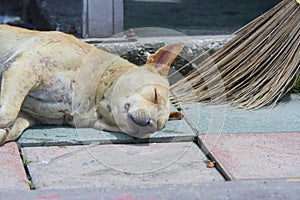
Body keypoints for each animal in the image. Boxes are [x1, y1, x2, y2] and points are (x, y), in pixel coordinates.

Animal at [0, 25, 183, 145]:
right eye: (155, 95)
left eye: (160, 125)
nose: (151, 125)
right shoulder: (26, 68)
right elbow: (8, 114)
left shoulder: (28, 113)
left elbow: (15, 124)